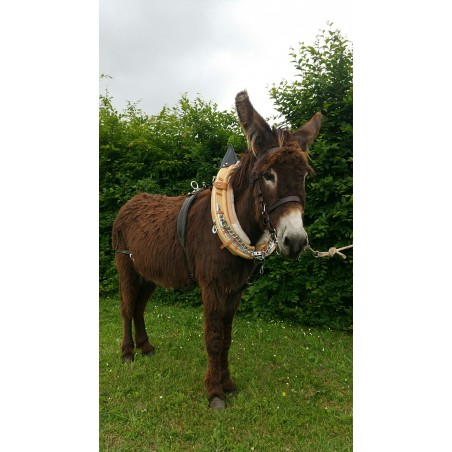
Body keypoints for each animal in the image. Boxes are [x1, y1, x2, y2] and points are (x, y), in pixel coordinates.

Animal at [112, 91, 322, 409]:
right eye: (268, 175)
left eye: (306, 176)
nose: (296, 241)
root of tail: (131, 201)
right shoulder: (211, 286)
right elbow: (213, 338)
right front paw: (215, 393)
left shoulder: (234, 290)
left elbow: (227, 339)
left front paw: (229, 385)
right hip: (126, 266)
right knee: (126, 307)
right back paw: (127, 353)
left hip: (149, 273)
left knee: (138, 307)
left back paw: (145, 346)